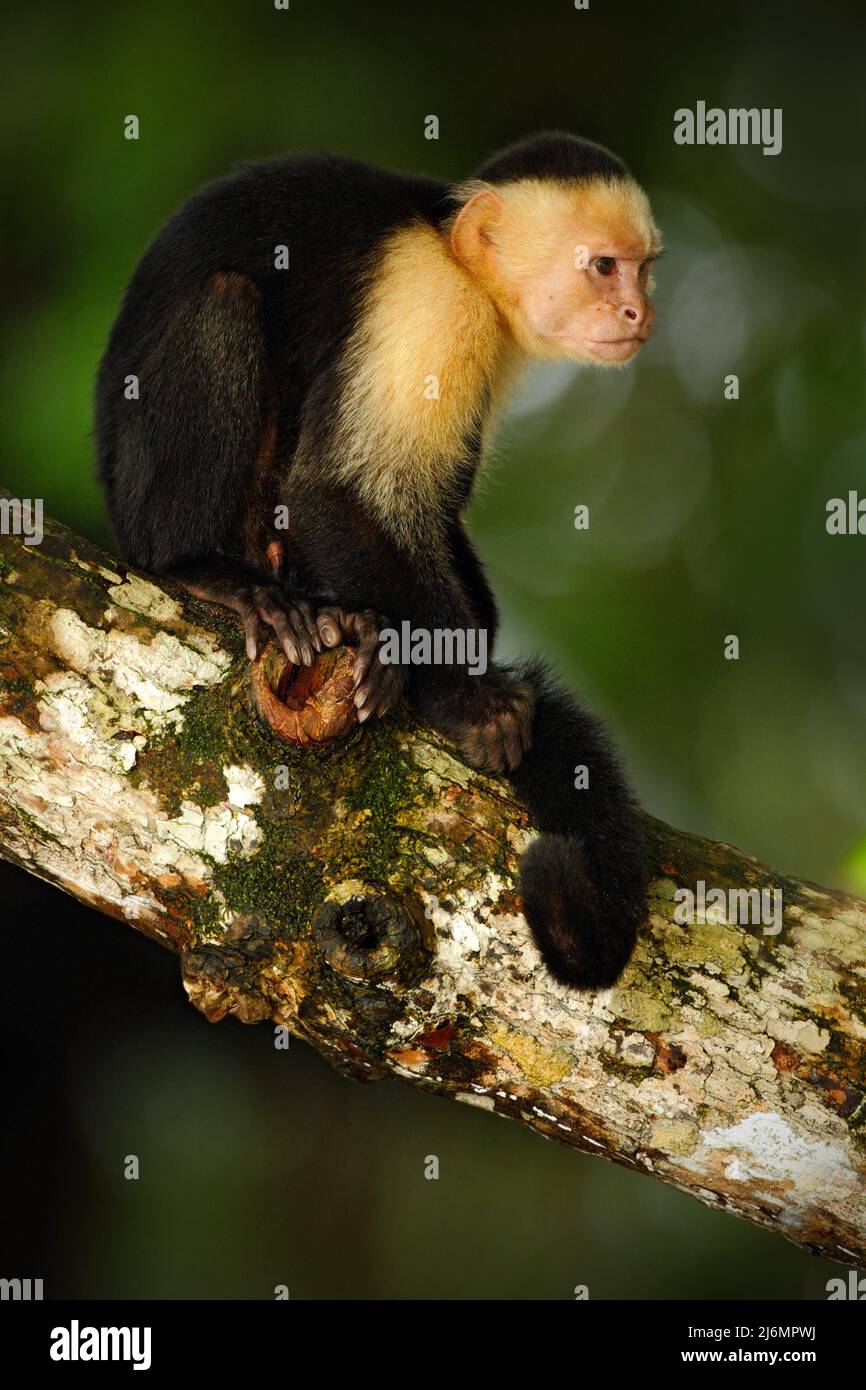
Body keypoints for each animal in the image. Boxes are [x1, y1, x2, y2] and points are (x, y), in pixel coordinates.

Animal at [95, 131, 662, 989]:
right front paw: (469, 699)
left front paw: (426, 663)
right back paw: (206, 570)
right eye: (602, 267)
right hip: (142, 493)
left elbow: (431, 506)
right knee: (225, 305)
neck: (456, 255)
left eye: (643, 269)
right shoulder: (426, 301)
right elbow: (334, 490)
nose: (639, 312)